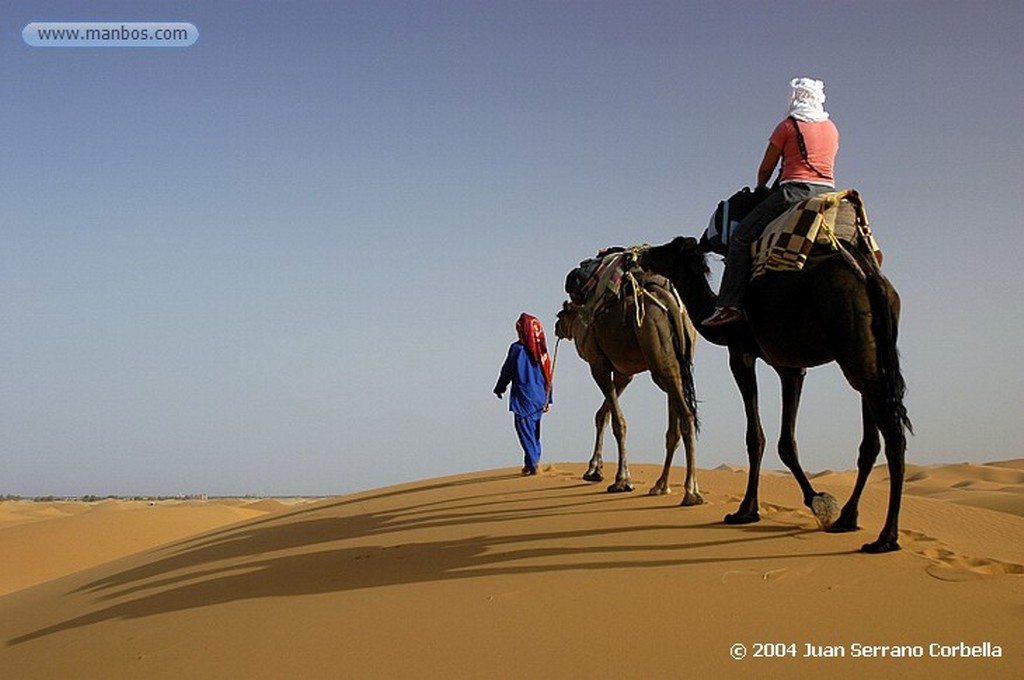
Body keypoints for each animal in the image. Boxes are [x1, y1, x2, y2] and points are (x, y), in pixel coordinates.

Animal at [552, 270, 704, 503]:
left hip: (656, 347)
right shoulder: (624, 373)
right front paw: (594, 470)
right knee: (674, 425)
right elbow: (602, 414)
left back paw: (691, 491)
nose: (555, 329)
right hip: (678, 357)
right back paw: (661, 485)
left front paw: (622, 480)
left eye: (559, 315)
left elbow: (618, 422)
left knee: (686, 415)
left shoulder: (598, 363)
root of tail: (667, 297)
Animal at [638, 233, 913, 553]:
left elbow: (755, 437)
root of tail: (871, 278)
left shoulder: (740, 354)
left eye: (666, 249)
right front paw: (820, 502)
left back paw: (885, 538)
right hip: (867, 355)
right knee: (871, 439)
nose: (642, 255)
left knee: (893, 435)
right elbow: (786, 442)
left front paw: (747, 510)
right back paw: (848, 518)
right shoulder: (790, 367)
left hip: (854, 345)